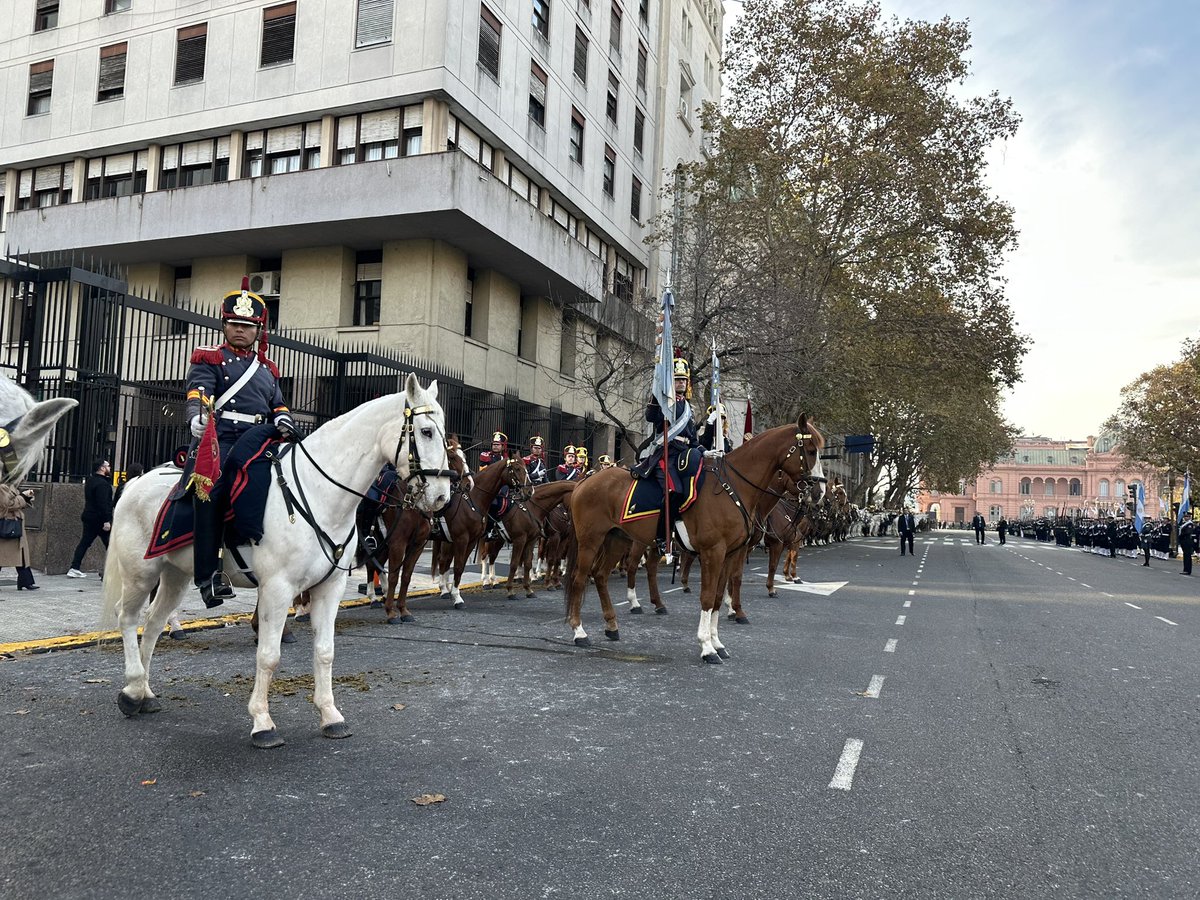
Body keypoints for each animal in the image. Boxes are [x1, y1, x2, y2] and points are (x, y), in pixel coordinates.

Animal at [99, 374, 454, 748]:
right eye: (426, 431)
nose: (442, 497)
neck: (318, 493)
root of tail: (136, 483)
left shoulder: (330, 586)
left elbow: (325, 651)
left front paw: (330, 715)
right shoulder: (277, 589)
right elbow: (269, 656)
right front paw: (262, 722)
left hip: (176, 575)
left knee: (153, 623)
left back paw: (145, 692)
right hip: (140, 573)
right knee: (127, 617)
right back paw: (131, 690)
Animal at [429, 456, 530, 608]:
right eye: (517, 468)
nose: (530, 491)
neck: (474, 499)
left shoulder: (472, 540)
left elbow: (462, 565)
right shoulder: (461, 538)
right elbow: (459, 565)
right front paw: (457, 596)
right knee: (443, 560)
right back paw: (445, 589)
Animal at [565, 418, 824, 662]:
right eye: (811, 450)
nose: (819, 493)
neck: (734, 487)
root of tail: (585, 481)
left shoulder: (731, 553)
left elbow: (719, 595)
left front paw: (718, 642)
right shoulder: (714, 552)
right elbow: (708, 597)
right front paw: (707, 647)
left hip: (617, 539)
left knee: (601, 575)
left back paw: (612, 625)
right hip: (591, 541)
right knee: (580, 578)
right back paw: (580, 632)